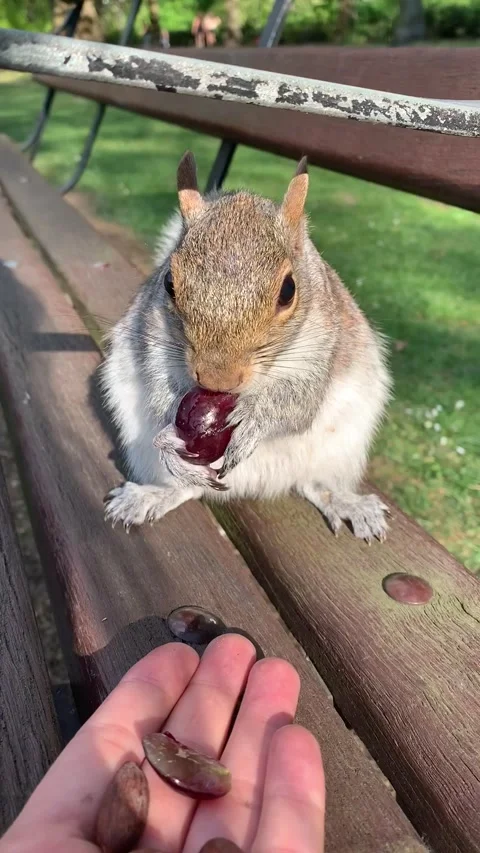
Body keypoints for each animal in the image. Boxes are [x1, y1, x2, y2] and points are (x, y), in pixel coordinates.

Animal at [102, 152, 392, 542]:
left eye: (289, 290)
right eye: (168, 283)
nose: (217, 379)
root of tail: (253, 485)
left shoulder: (321, 349)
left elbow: (298, 403)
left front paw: (256, 419)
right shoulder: (153, 338)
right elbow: (160, 387)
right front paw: (169, 432)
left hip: (340, 447)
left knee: (313, 484)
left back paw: (345, 502)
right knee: (187, 489)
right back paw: (154, 493)